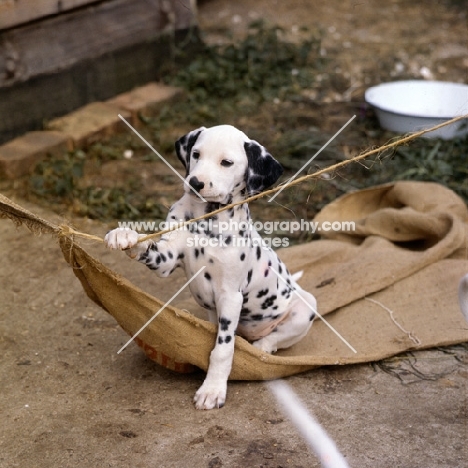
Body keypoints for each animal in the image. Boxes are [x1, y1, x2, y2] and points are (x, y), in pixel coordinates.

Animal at [105, 124, 318, 410]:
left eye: (226, 162)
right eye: (196, 154)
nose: (195, 182)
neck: (206, 218)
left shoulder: (230, 296)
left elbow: (222, 349)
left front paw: (212, 389)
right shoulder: (167, 258)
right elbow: (149, 247)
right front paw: (125, 235)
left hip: (305, 308)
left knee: (274, 339)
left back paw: (261, 348)